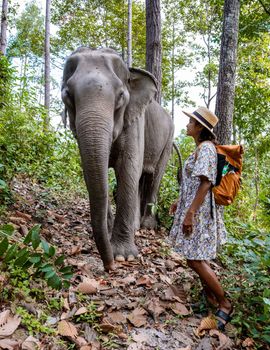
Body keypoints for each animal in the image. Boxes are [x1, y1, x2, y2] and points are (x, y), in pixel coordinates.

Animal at [61, 47, 174, 270]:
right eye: (67, 95)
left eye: (121, 96)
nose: (109, 266)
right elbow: (94, 171)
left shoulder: (135, 121)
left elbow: (128, 168)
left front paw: (123, 256)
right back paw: (136, 226)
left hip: (169, 139)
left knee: (154, 177)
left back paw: (146, 226)